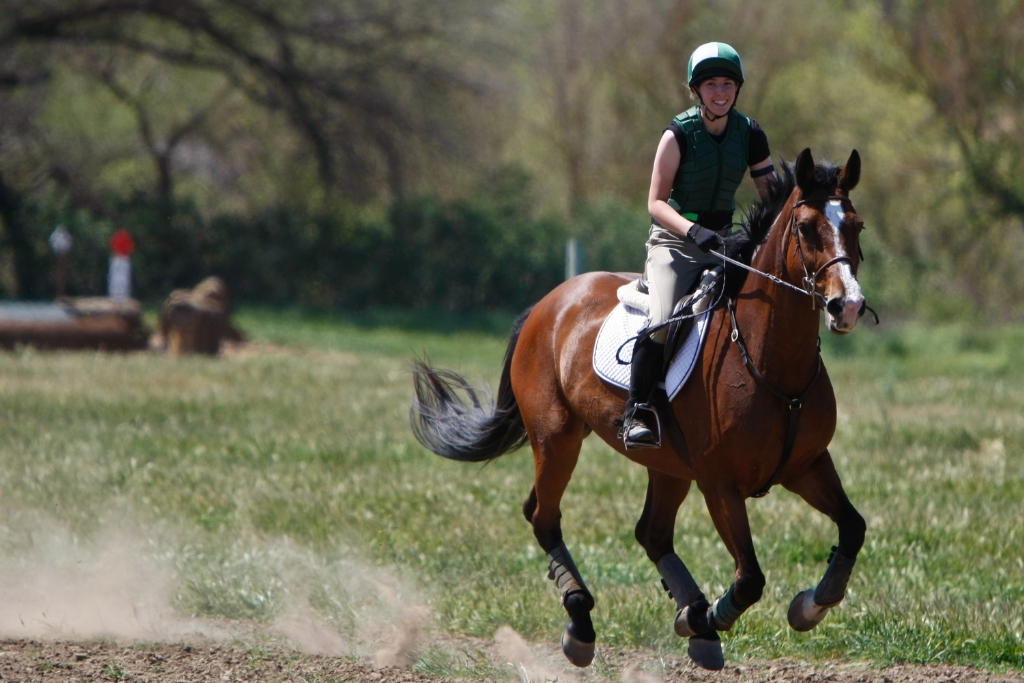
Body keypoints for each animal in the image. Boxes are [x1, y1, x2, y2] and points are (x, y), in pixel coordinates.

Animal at [411, 148, 868, 667]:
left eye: (857, 225)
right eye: (807, 228)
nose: (848, 306)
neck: (771, 360)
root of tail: (548, 303)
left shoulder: (807, 465)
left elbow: (853, 528)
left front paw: (809, 606)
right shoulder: (720, 485)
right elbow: (750, 578)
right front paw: (708, 618)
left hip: (666, 464)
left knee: (651, 532)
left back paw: (691, 618)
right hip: (556, 439)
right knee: (544, 516)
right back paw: (584, 622)